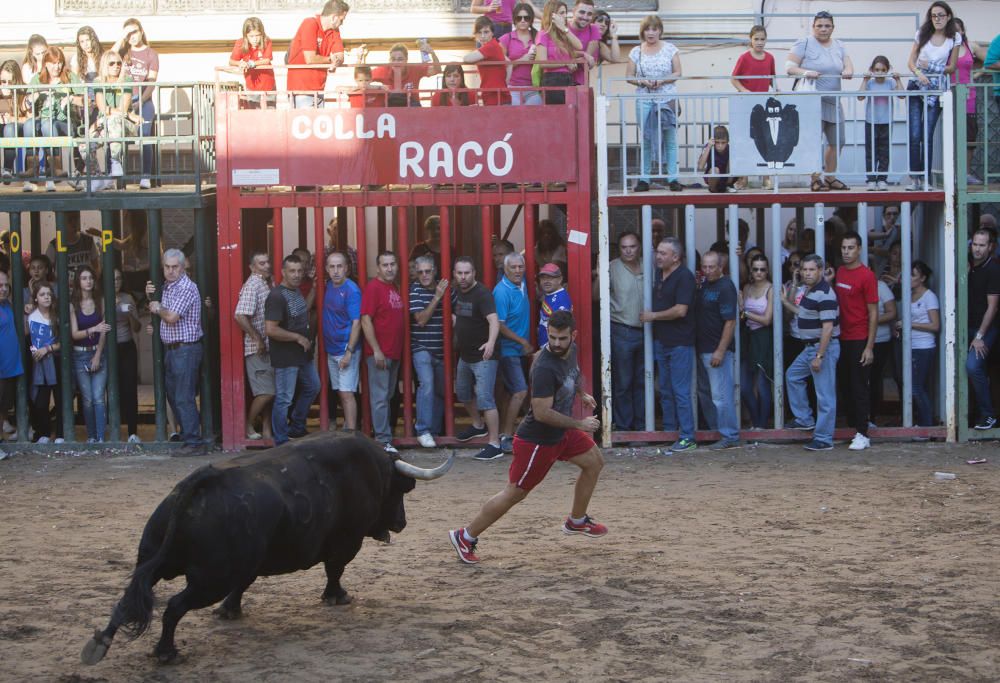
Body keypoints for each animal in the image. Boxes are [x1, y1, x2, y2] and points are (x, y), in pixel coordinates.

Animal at [81, 436, 454, 664]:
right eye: (402, 489)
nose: (402, 523)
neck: (369, 470)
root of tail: (195, 486)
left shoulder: (251, 563)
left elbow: (243, 585)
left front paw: (230, 611)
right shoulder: (346, 542)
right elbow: (335, 570)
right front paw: (337, 596)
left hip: (152, 559)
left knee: (129, 599)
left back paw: (100, 644)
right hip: (208, 580)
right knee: (173, 608)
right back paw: (165, 652)